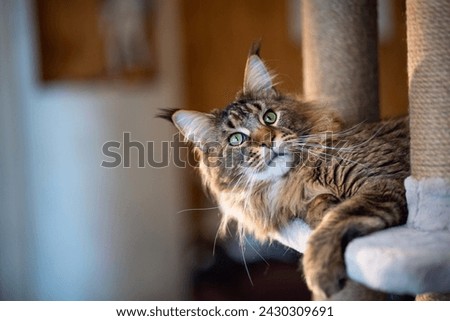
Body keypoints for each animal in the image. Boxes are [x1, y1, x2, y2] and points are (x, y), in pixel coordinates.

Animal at [160, 43, 410, 298]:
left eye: (270, 117)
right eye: (236, 139)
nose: (267, 141)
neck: (296, 179)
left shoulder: (382, 180)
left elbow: (338, 219)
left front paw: (318, 271)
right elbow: (321, 210)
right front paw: (323, 207)